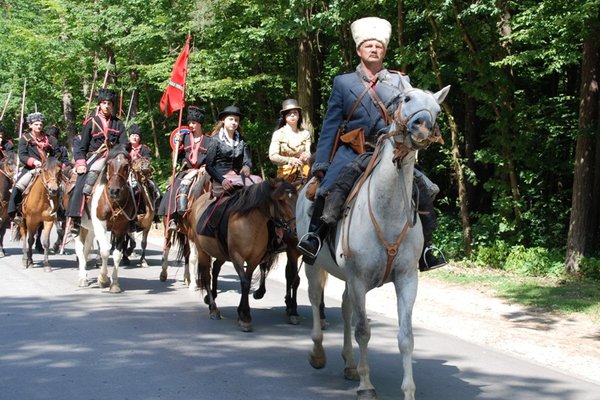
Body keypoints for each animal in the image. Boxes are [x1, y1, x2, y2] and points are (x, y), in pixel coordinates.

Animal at [74, 144, 135, 290]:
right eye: (109, 164)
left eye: (126, 165)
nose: (114, 191)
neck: (113, 202)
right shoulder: (100, 225)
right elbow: (105, 251)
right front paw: (103, 279)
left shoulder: (120, 229)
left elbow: (117, 255)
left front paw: (115, 284)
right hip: (77, 225)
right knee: (79, 246)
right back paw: (82, 278)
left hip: (89, 228)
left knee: (85, 248)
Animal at [186, 178, 296, 332]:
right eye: (280, 200)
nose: (295, 229)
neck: (250, 223)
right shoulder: (236, 257)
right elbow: (244, 282)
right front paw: (245, 317)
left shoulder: (254, 259)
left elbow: (248, 282)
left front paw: (243, 312)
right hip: (201, 249)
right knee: (206, 276)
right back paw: (213, 308)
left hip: (221, 253)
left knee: (215, 268)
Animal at [296, 82, 450, 400]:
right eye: (406, 98)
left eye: (437, 110)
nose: (423, 126)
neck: (387, 210)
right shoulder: (358, 280)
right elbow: (363, 331)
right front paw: (366, 386)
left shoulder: (406, 279)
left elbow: (406, 337)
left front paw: (408, 391)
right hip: (313, 264)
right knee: (316, 299)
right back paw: (318, 354)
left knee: (345, 309)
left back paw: (349, 364)